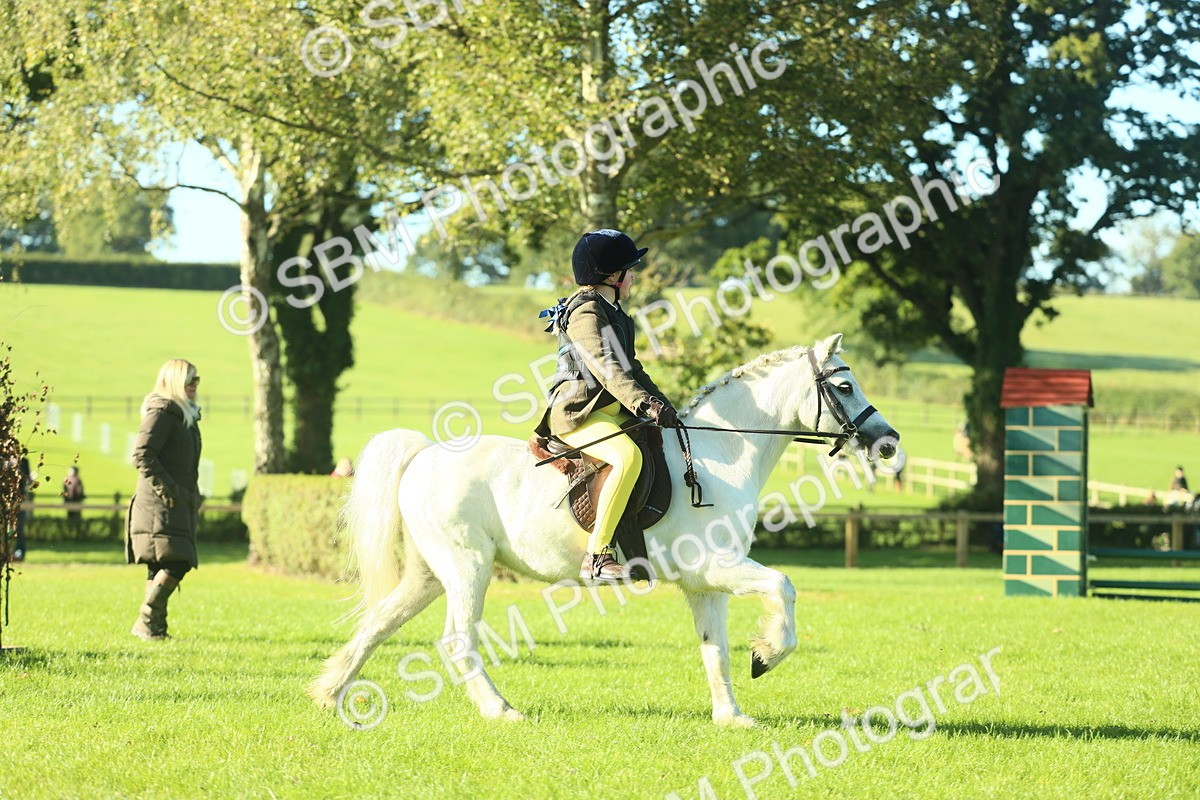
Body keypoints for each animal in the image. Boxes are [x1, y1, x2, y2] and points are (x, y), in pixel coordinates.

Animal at [310, 333, 899, 727]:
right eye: (845, 384)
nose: (888, 442)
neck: (722, 453)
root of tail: (425, 453)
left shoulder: (706, 583)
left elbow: (715, 649)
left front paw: (731, 716)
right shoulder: (719, 567)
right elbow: (784, 586)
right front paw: (768, 655)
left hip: (429, 573)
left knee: (378, 623)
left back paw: (331, 695)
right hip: (467, 567)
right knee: (457, 640)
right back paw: (501, 711)